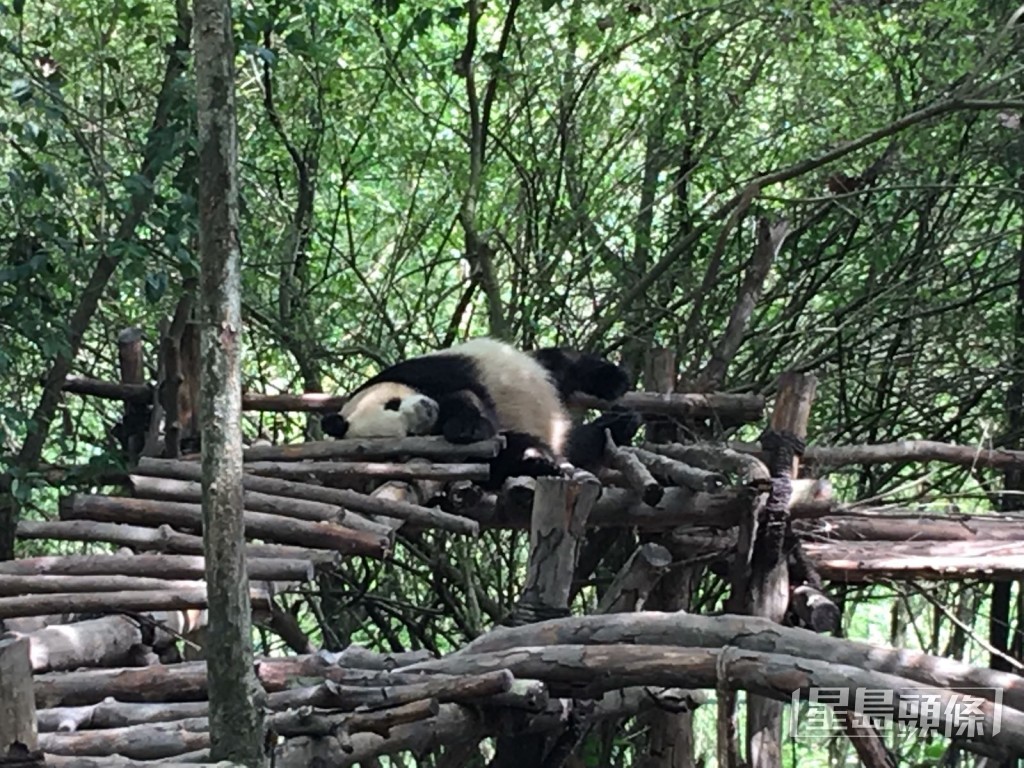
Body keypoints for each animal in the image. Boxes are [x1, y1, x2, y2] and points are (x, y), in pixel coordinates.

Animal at [319, 339, 638, 489]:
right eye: (408, 436)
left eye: (393, 403)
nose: (425, 410)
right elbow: (491, 457)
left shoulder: (428, 371)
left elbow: (468, 396)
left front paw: (466, 427)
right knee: (572, 444)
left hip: (532, 371)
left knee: (564, 363)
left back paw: (615, 388)